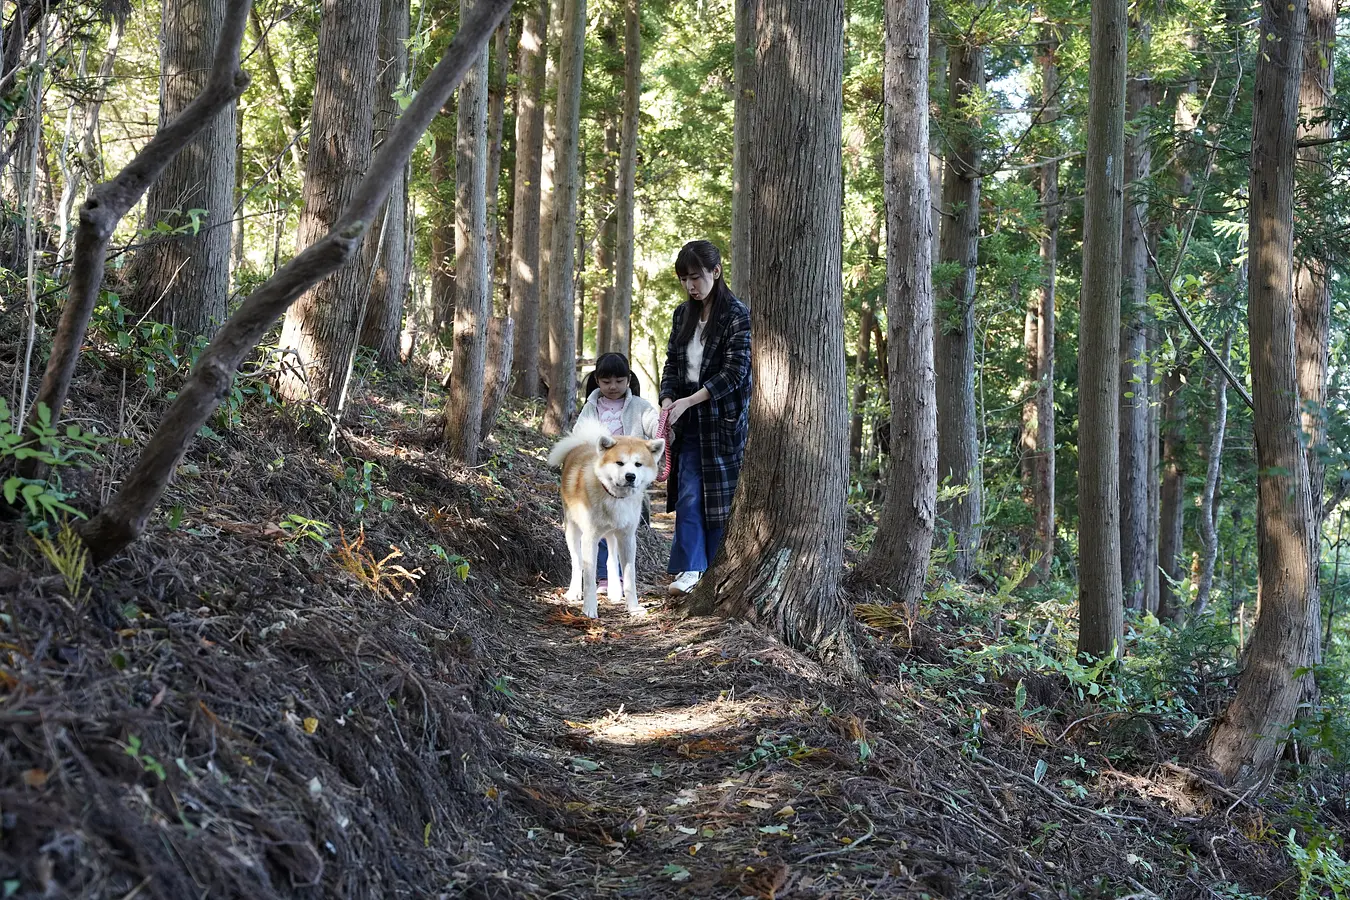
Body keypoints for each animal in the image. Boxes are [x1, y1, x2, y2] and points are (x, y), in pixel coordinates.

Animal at [548, 420, 664, 620]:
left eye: (638, 464)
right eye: (620, 463)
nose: (630, 476)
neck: (615, 498)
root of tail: (582, 444)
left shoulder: (627, 538)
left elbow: (629, 577)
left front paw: (633, 608)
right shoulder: (590, 538)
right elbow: (588, 576)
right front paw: (589, 608)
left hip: (613, 534)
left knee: (611, 561)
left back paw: (615, 591)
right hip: (572, 530)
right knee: (577, 562)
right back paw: (574, 592)